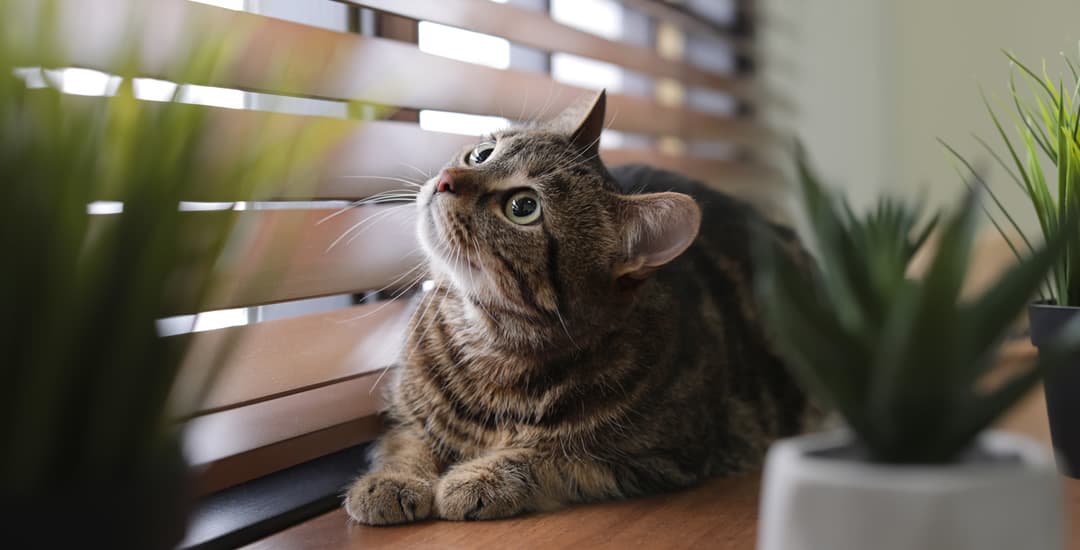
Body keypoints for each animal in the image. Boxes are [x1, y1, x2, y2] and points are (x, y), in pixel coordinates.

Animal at [341, 90, 812, 522]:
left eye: (523, 207)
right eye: (482, 154)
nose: (444, 179)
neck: (493, 348)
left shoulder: (659, 458)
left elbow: (553, 459)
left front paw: (480, 478)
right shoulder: (403, 414)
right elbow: (407, 441)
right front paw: (392, 480)